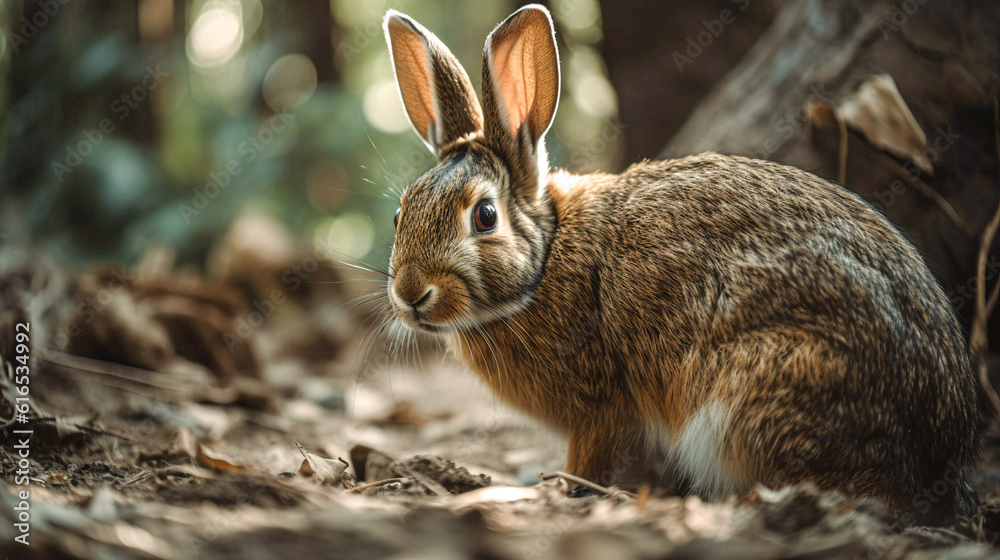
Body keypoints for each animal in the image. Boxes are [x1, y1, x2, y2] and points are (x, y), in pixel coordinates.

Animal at [380, 4, 981, 524]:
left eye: (484, 216)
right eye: (399, 212)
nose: (411, 294)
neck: (546, 259)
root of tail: (939, 462)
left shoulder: (600, 404)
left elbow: (589, 458)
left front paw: (562, 490)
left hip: (759, 392)